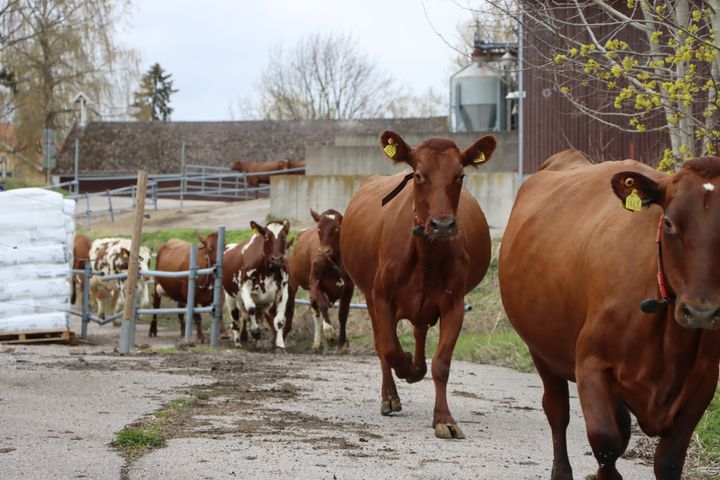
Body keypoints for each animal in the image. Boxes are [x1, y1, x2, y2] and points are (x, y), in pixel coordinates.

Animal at [225, 220, 292, 348]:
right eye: (266, 237)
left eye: (284, 237)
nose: (277, 258)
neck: (268, 270)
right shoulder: (244, 287)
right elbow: (251, 308)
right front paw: (255, 332)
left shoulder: (283, 289)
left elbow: (279, 320)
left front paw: (280, 345)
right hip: (230, 297)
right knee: (235, 321)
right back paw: (238, 342)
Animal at [286, 208, 354, 350]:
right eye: (319, 228)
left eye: (337, 228)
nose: (323, 251)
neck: (333, 262)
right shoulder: (315, 282)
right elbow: (323, 305)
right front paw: (329, 333)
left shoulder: (349, 287)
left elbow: (343, 313)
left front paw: (342, 343)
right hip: (294, 282)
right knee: (303, 307)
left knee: (315, 310)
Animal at [338, 130, 496, 438]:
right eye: (420, 175)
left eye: (460, 175)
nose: (443, 225)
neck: (426, 256)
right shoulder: (381, 297)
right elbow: (389, 348)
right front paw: (405, 369)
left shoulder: (454, 304)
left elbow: (441, 364)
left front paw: (444, 418)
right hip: (369, 296)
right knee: (382, 345)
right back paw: (390, 395)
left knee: (419, 329)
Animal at [500, 149, 720, 476]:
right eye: (668, 223)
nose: (701, 311)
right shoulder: (591, 365)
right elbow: (606, 443)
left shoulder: (702, 384)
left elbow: (668, 461)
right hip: (541, 351)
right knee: (557, 410)